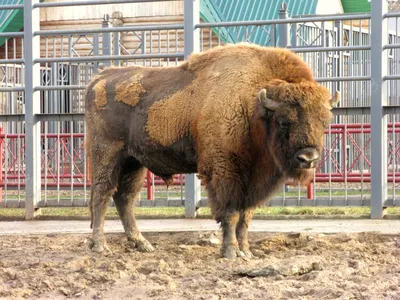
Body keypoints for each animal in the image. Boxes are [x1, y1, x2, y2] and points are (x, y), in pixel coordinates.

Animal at [85, 42, 340, 258]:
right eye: (284, 121)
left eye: (324, 122)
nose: (308, 158)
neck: (252, 105)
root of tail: (98, 79)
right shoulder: (225, 172)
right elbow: (231, 213)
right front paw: (230, 252)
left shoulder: (252, 182)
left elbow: (246, 218)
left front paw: (246, 252)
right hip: (107, 155)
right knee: (101, 195)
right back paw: (100, 246)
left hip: (134, 162)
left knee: (124, 198)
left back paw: (142, 244)